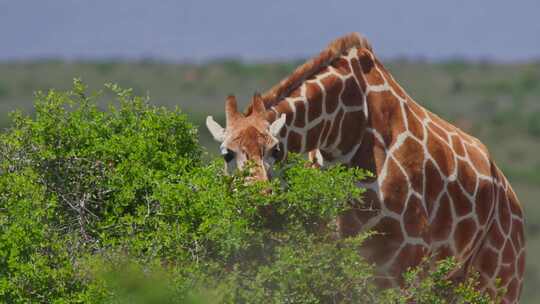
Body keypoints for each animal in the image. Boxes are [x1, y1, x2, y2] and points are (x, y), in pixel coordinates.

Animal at [205, 32, 524, 302]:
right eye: (226, 154)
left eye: (276, 150)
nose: (258, 198)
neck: (343, 134)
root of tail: (512, 198)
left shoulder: (403, 264)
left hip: (498, 281)